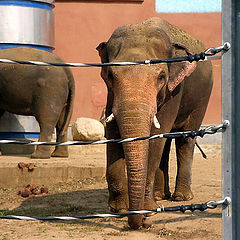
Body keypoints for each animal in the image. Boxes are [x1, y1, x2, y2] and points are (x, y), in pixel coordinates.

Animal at [96, 17, 213, 231]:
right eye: (110, 76)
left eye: (161, 77)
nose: (142, 223)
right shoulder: (111, 95)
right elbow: (113, 132)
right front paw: (118, 210)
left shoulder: (173, 92)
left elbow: (155, 137)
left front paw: (148, 210)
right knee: (165, 144)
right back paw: (160, 196)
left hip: (202, 98)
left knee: (185, 139)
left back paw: (181, 198)